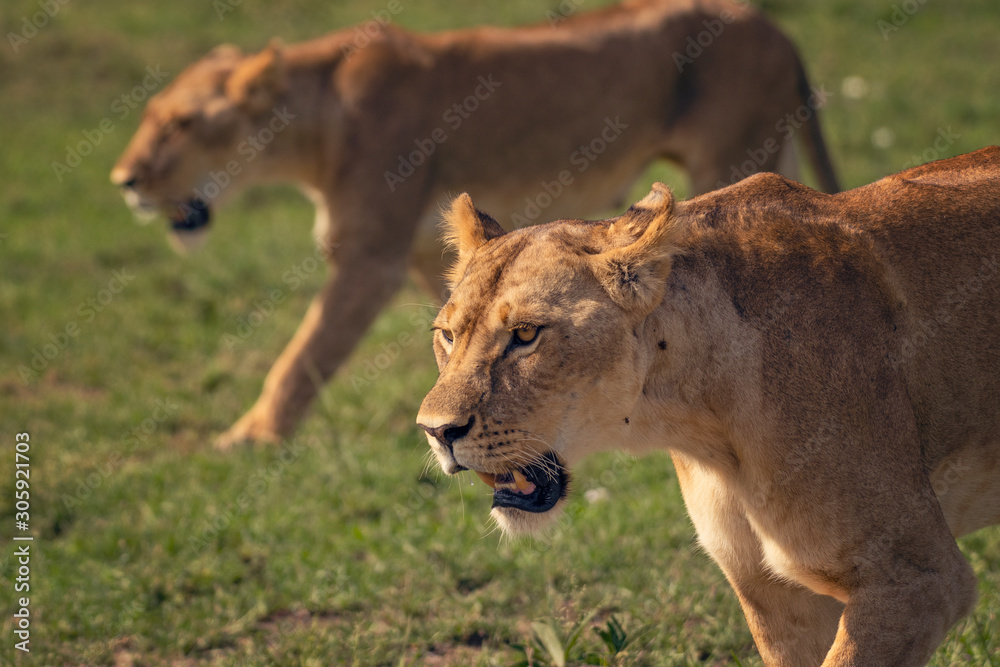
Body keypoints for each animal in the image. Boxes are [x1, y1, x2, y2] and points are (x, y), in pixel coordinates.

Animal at [110, 0, 839, 448]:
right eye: (151, 116)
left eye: (181, 124)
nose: (124, 181)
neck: (315, 119)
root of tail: (772, 25)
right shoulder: (427, 261)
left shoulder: (369, 257)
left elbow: (301, 354)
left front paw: (249, 439)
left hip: (731, 158)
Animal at [417, 147, 1000, 665]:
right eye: (447, 335)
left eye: (525, 334)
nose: (435, 431)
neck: (700, 426)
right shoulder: (774, 595)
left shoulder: (915, 577)